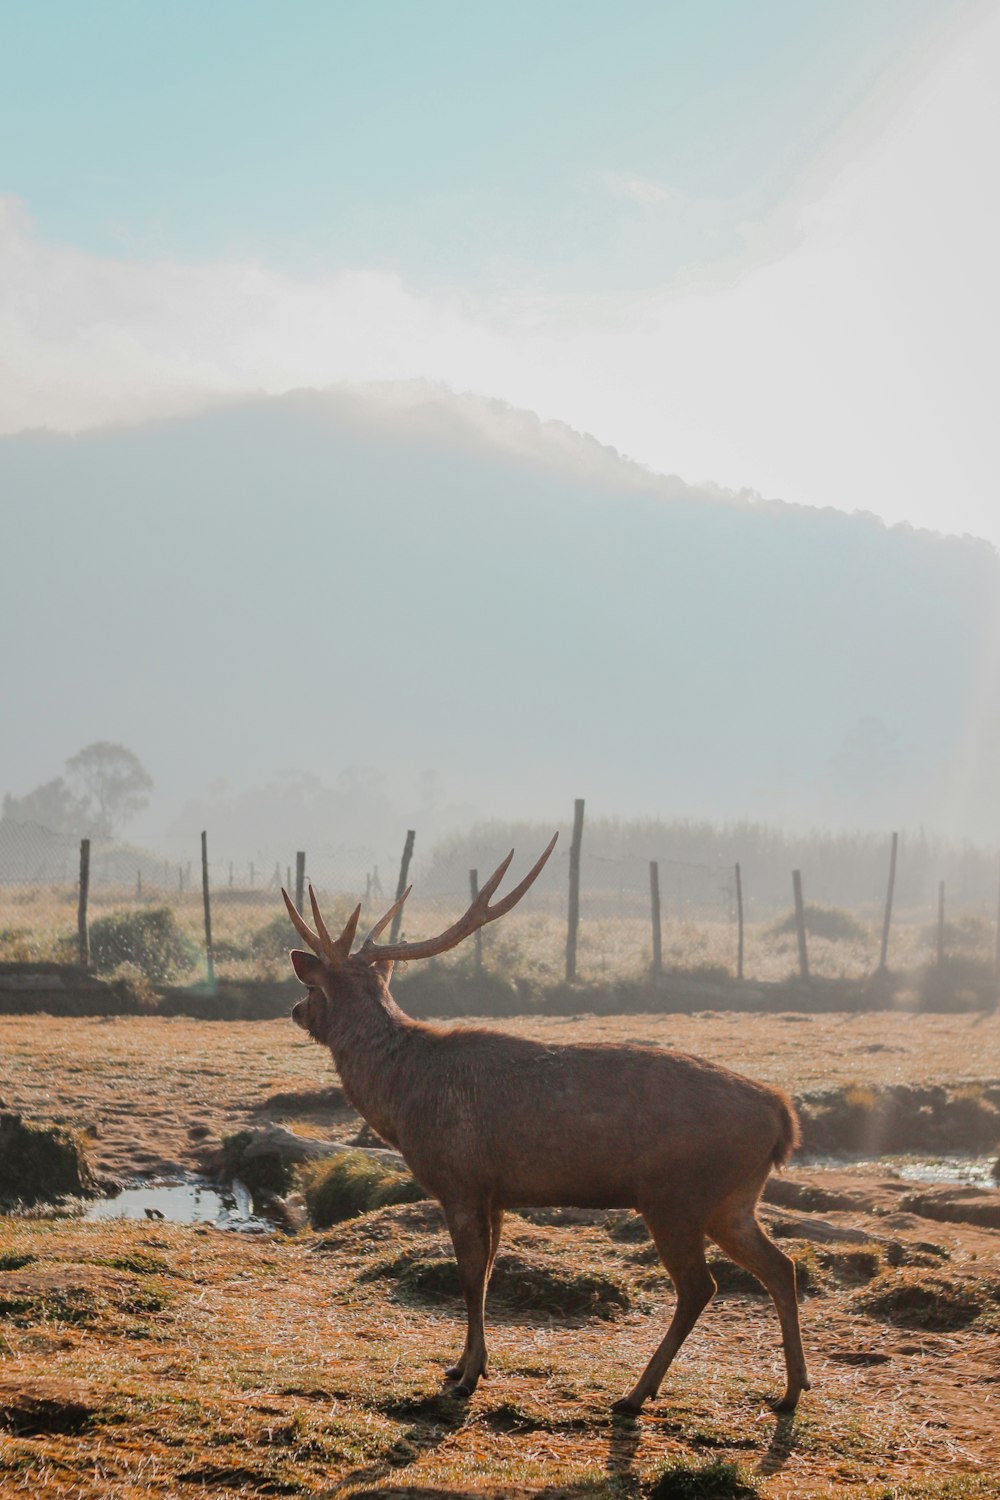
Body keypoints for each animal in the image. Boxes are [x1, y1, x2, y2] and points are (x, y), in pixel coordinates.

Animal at [283, 840, 815, 1410]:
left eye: (315, 988)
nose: (295, 1009)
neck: (400, 1102)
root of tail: (782, 1115)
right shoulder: (495, 1193)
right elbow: (488, 1274)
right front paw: (463, 1365)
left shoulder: (460, 1181)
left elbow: (470, 1278)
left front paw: (468, 1377)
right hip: (733, 1199)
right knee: (780, 1266)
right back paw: (792, 1388)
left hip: (677, 1195)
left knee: (701, 1285)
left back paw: (636, 1393)